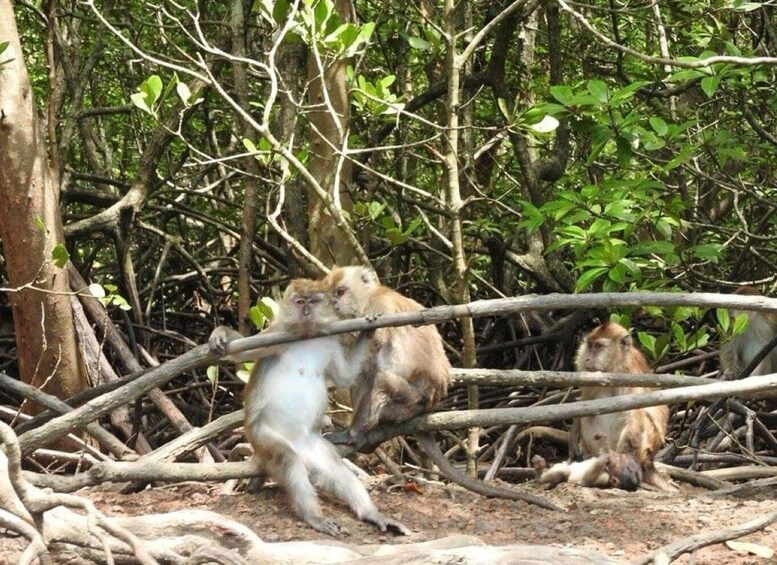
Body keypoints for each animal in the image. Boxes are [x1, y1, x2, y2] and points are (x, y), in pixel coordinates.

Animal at [209, 280, 410, 536]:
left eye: (312, 301)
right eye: (300, 301)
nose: (306, 312)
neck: (305, 337)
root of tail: (298, 444)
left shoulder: (330, 342)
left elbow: (345, 376)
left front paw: (368, 332)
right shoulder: (277, 334)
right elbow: (242, 352)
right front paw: (220, 334)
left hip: (312, 445)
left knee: (334, 466)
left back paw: (370, 514)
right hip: (263, 438)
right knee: (288, 460)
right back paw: (312, 516)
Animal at [568, 322, 672, 490]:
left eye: (598, 346)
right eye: (590, 346)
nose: (587, 359)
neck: (613, 369)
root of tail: (649, 462)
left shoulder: (629, 376)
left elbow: (634, 415)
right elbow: (585, 403)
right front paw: (573, 434)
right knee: (589, 417)